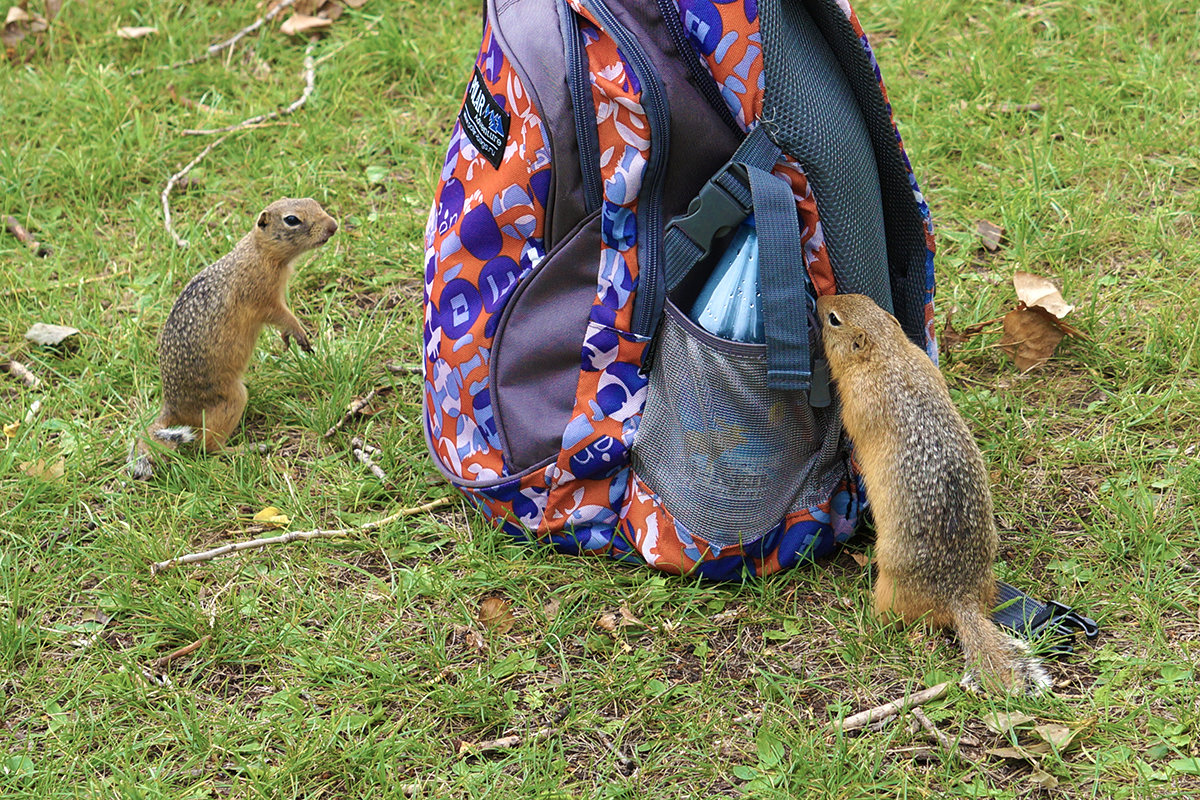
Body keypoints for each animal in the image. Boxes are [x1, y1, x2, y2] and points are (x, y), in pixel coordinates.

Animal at [129, 199, 338, 482]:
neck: (260, 253)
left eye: (314, 202)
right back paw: (246, 449)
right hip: (232, 399)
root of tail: (173, 408)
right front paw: (299, 333)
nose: (333, 226)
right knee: (208, 448)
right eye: (292, 220)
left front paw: (288, 338)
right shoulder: (265, 298)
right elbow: (283, 316)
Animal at [816, 293, 1051, 695]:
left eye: (833, 319)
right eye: (861, 299)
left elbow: (852, 428)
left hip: (890, 587)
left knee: (893, 620)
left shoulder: (860, 401)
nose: (818, 299)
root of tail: (959, 598)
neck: (889, 354)